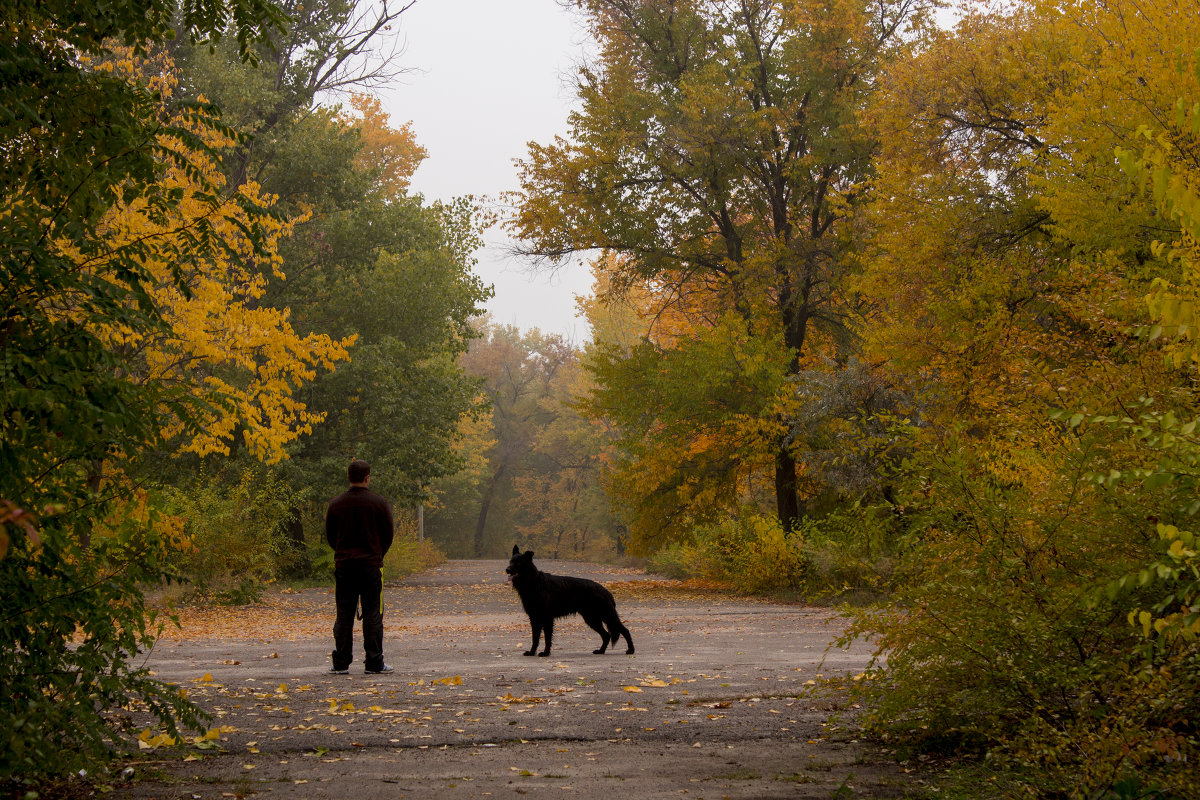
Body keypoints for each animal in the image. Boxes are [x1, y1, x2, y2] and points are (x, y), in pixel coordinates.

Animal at [501, 546, 633, 662]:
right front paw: (532, 652)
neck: (533, 582)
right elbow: (535, 638)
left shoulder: (547, 619)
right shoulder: (534, 619)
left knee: (624, 630)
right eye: (511, 561)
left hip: (606, 616)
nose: (507, 569)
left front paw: (546, 653)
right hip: (592, 619)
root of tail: (606, 591)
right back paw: (601, 651)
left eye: (518, 563)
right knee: (606, 635)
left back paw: (631, 650)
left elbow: (547, 638)